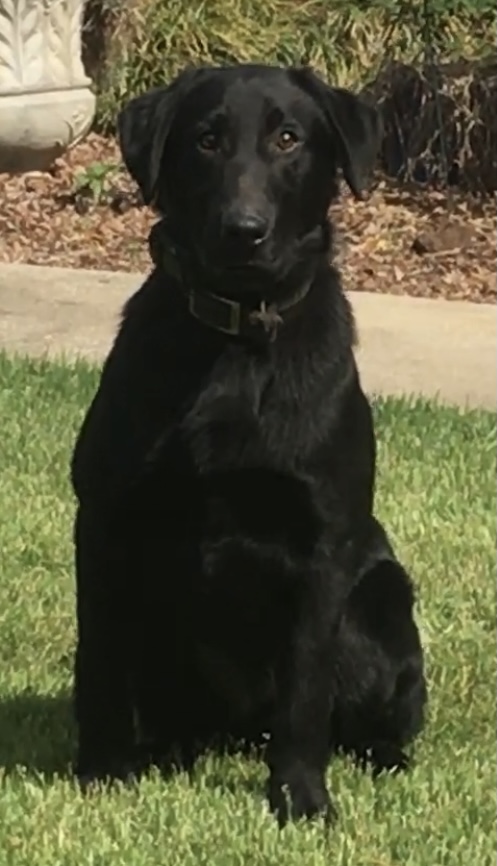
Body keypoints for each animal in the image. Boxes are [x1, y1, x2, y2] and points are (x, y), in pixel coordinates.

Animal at [70, 62, 426, 824]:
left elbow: (305, 692)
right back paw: (166, 750)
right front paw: (104, 769)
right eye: (206, 140)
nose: (243, 231)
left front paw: (300, 798)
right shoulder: (105, 524)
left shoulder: (322, 549)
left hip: (380, 602)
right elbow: (99, 660)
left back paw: (382, 757)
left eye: (288, 138)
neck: (233, 341)